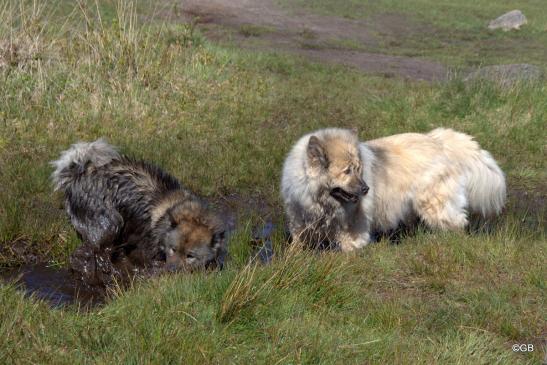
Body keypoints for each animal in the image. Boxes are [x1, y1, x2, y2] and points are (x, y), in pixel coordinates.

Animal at [282, 126, 510, 250]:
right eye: (347, 171)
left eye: (358, 169)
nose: (366, 189)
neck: (322, 202)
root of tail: (439, 142)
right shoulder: (300, 222)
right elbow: (296, 246)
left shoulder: (353, 231)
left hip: (434, 205)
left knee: (457, 224)